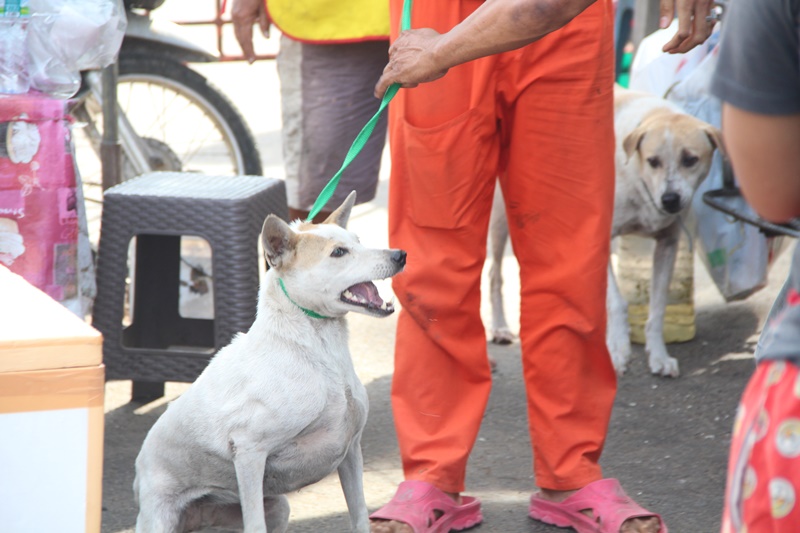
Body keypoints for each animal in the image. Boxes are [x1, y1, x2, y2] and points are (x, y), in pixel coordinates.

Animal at [134, 192, 406, 532]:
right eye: (338, 253)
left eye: (358, 241)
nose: (401, 255)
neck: (320, 353)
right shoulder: (249, 452)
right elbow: (255, 524)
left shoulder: (351, 452)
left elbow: (359, 516)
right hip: (160, 518)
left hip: (278, 507)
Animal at [488, 87, 724, 376]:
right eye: (653, 161)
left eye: (690, 159)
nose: (670, 200)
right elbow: (616, 303)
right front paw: (618, 350)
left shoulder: (667, 244)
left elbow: (657, 308)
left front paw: (659, 356)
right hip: (501, 217)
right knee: (494, 274)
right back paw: (500, 327)